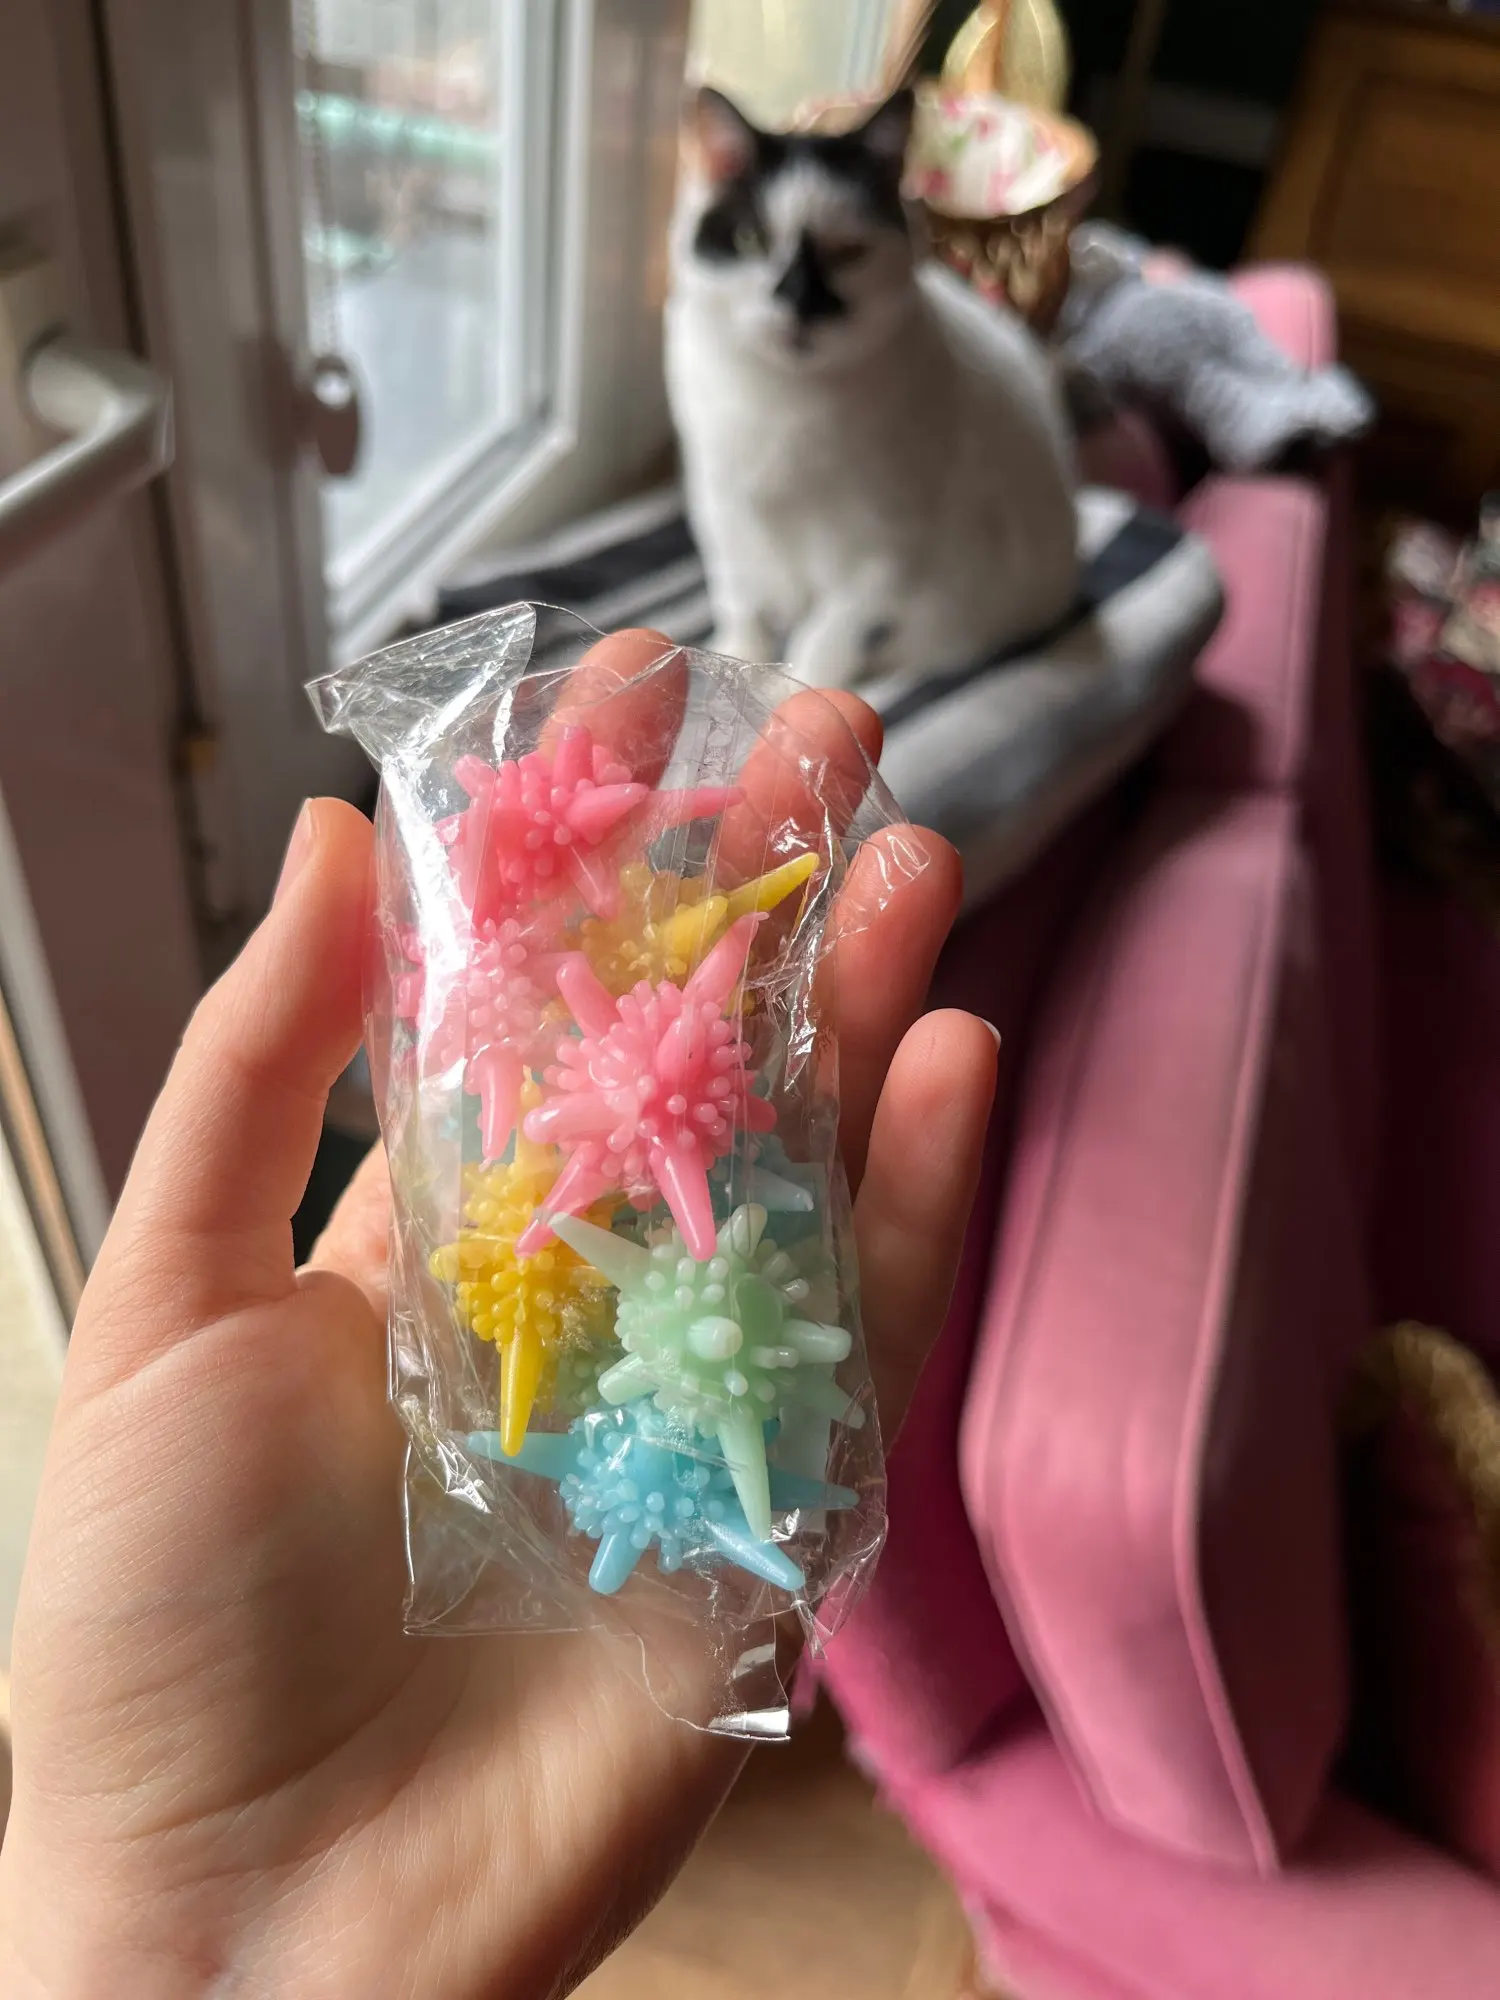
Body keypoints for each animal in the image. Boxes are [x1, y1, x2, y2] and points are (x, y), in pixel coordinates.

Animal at [665, 86, 1079, 691]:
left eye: (850, 252)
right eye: (750, 239)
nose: (800, 306)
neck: (787, 401)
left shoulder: (887, 546)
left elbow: (832, 628)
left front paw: (800, 690)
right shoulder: (721, 503)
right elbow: (738, 596)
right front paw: (732, 660)